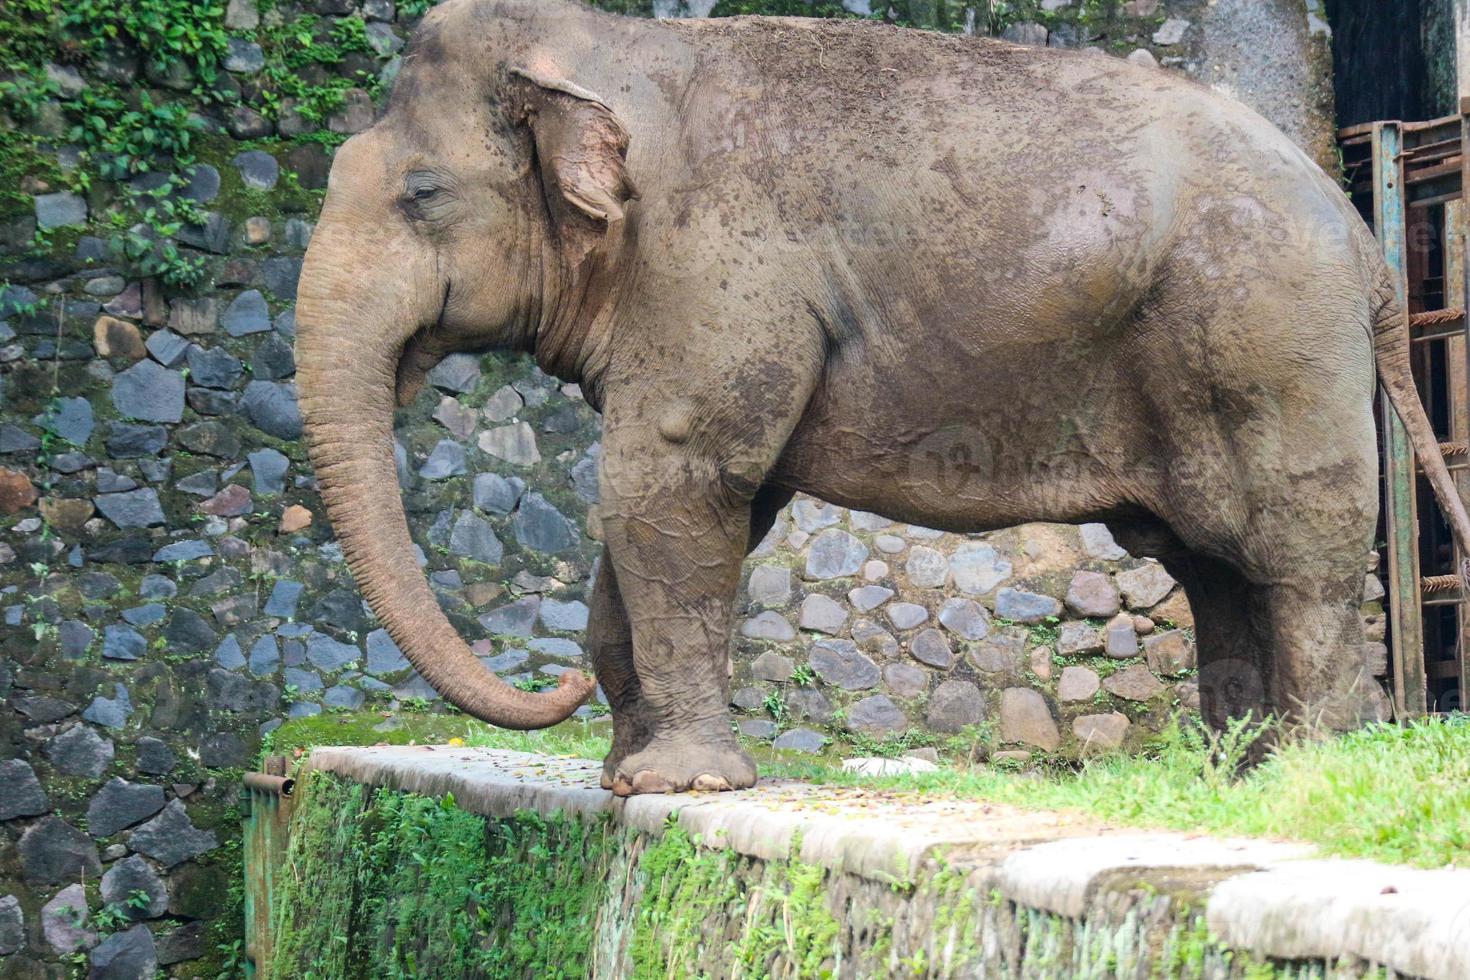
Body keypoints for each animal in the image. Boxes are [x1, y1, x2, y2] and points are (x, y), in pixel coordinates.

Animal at [295, 0, 1470, 799]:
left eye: (421, 194)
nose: (564, 701)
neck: (613, 44)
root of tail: (1360, 234)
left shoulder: (718, 270)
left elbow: (676, 478)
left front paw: (682, 784)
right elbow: (682, 496)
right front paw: (626, 778)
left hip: (1269, 338)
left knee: (1294, 552)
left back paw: (1302, 776)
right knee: (1214, 564)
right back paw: (1235, 779)